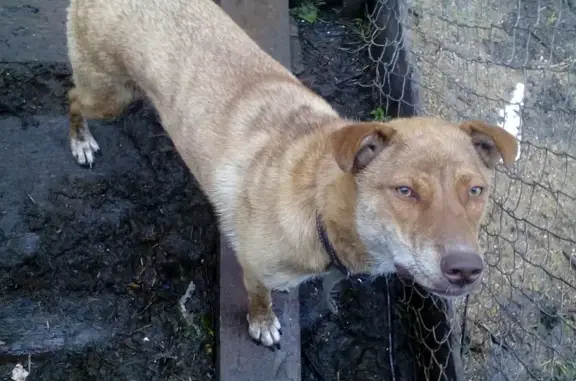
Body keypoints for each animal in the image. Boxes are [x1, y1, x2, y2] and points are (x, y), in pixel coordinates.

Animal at [65, 0, 520, 348]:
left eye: (476, 190)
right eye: (405, 190)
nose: (465, 268)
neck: (318, 203)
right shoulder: (255, 267)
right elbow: (259, 297)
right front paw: (262, 323)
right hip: (110, 95)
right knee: (71, 97)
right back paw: (80, 141)